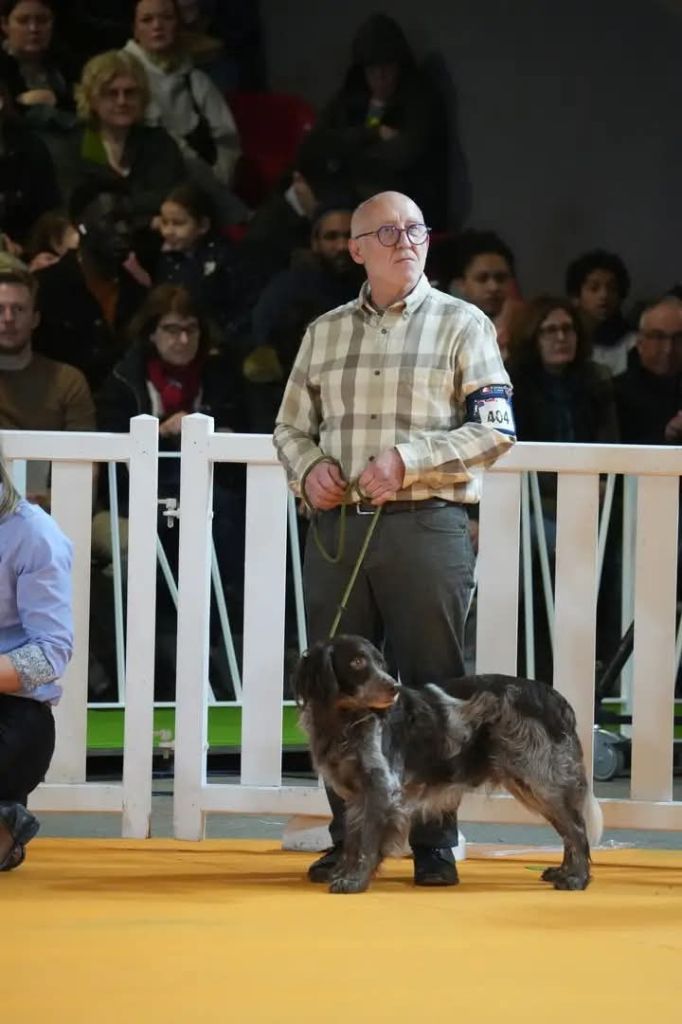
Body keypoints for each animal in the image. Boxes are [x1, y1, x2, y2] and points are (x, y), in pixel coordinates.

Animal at [294, 635, 603, 894]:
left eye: (381, 663)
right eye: (357, 661)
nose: (393, 687)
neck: (344, 722)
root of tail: (556, 699)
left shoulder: (381, 789)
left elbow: (366, 843)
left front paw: (354, 881)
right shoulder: (359, 795)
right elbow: (353, 840)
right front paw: (342, 872)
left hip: (541, 778)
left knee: (577, 829)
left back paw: (576, 878)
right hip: (530, 783)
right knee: (569, 830)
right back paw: (564, 872)